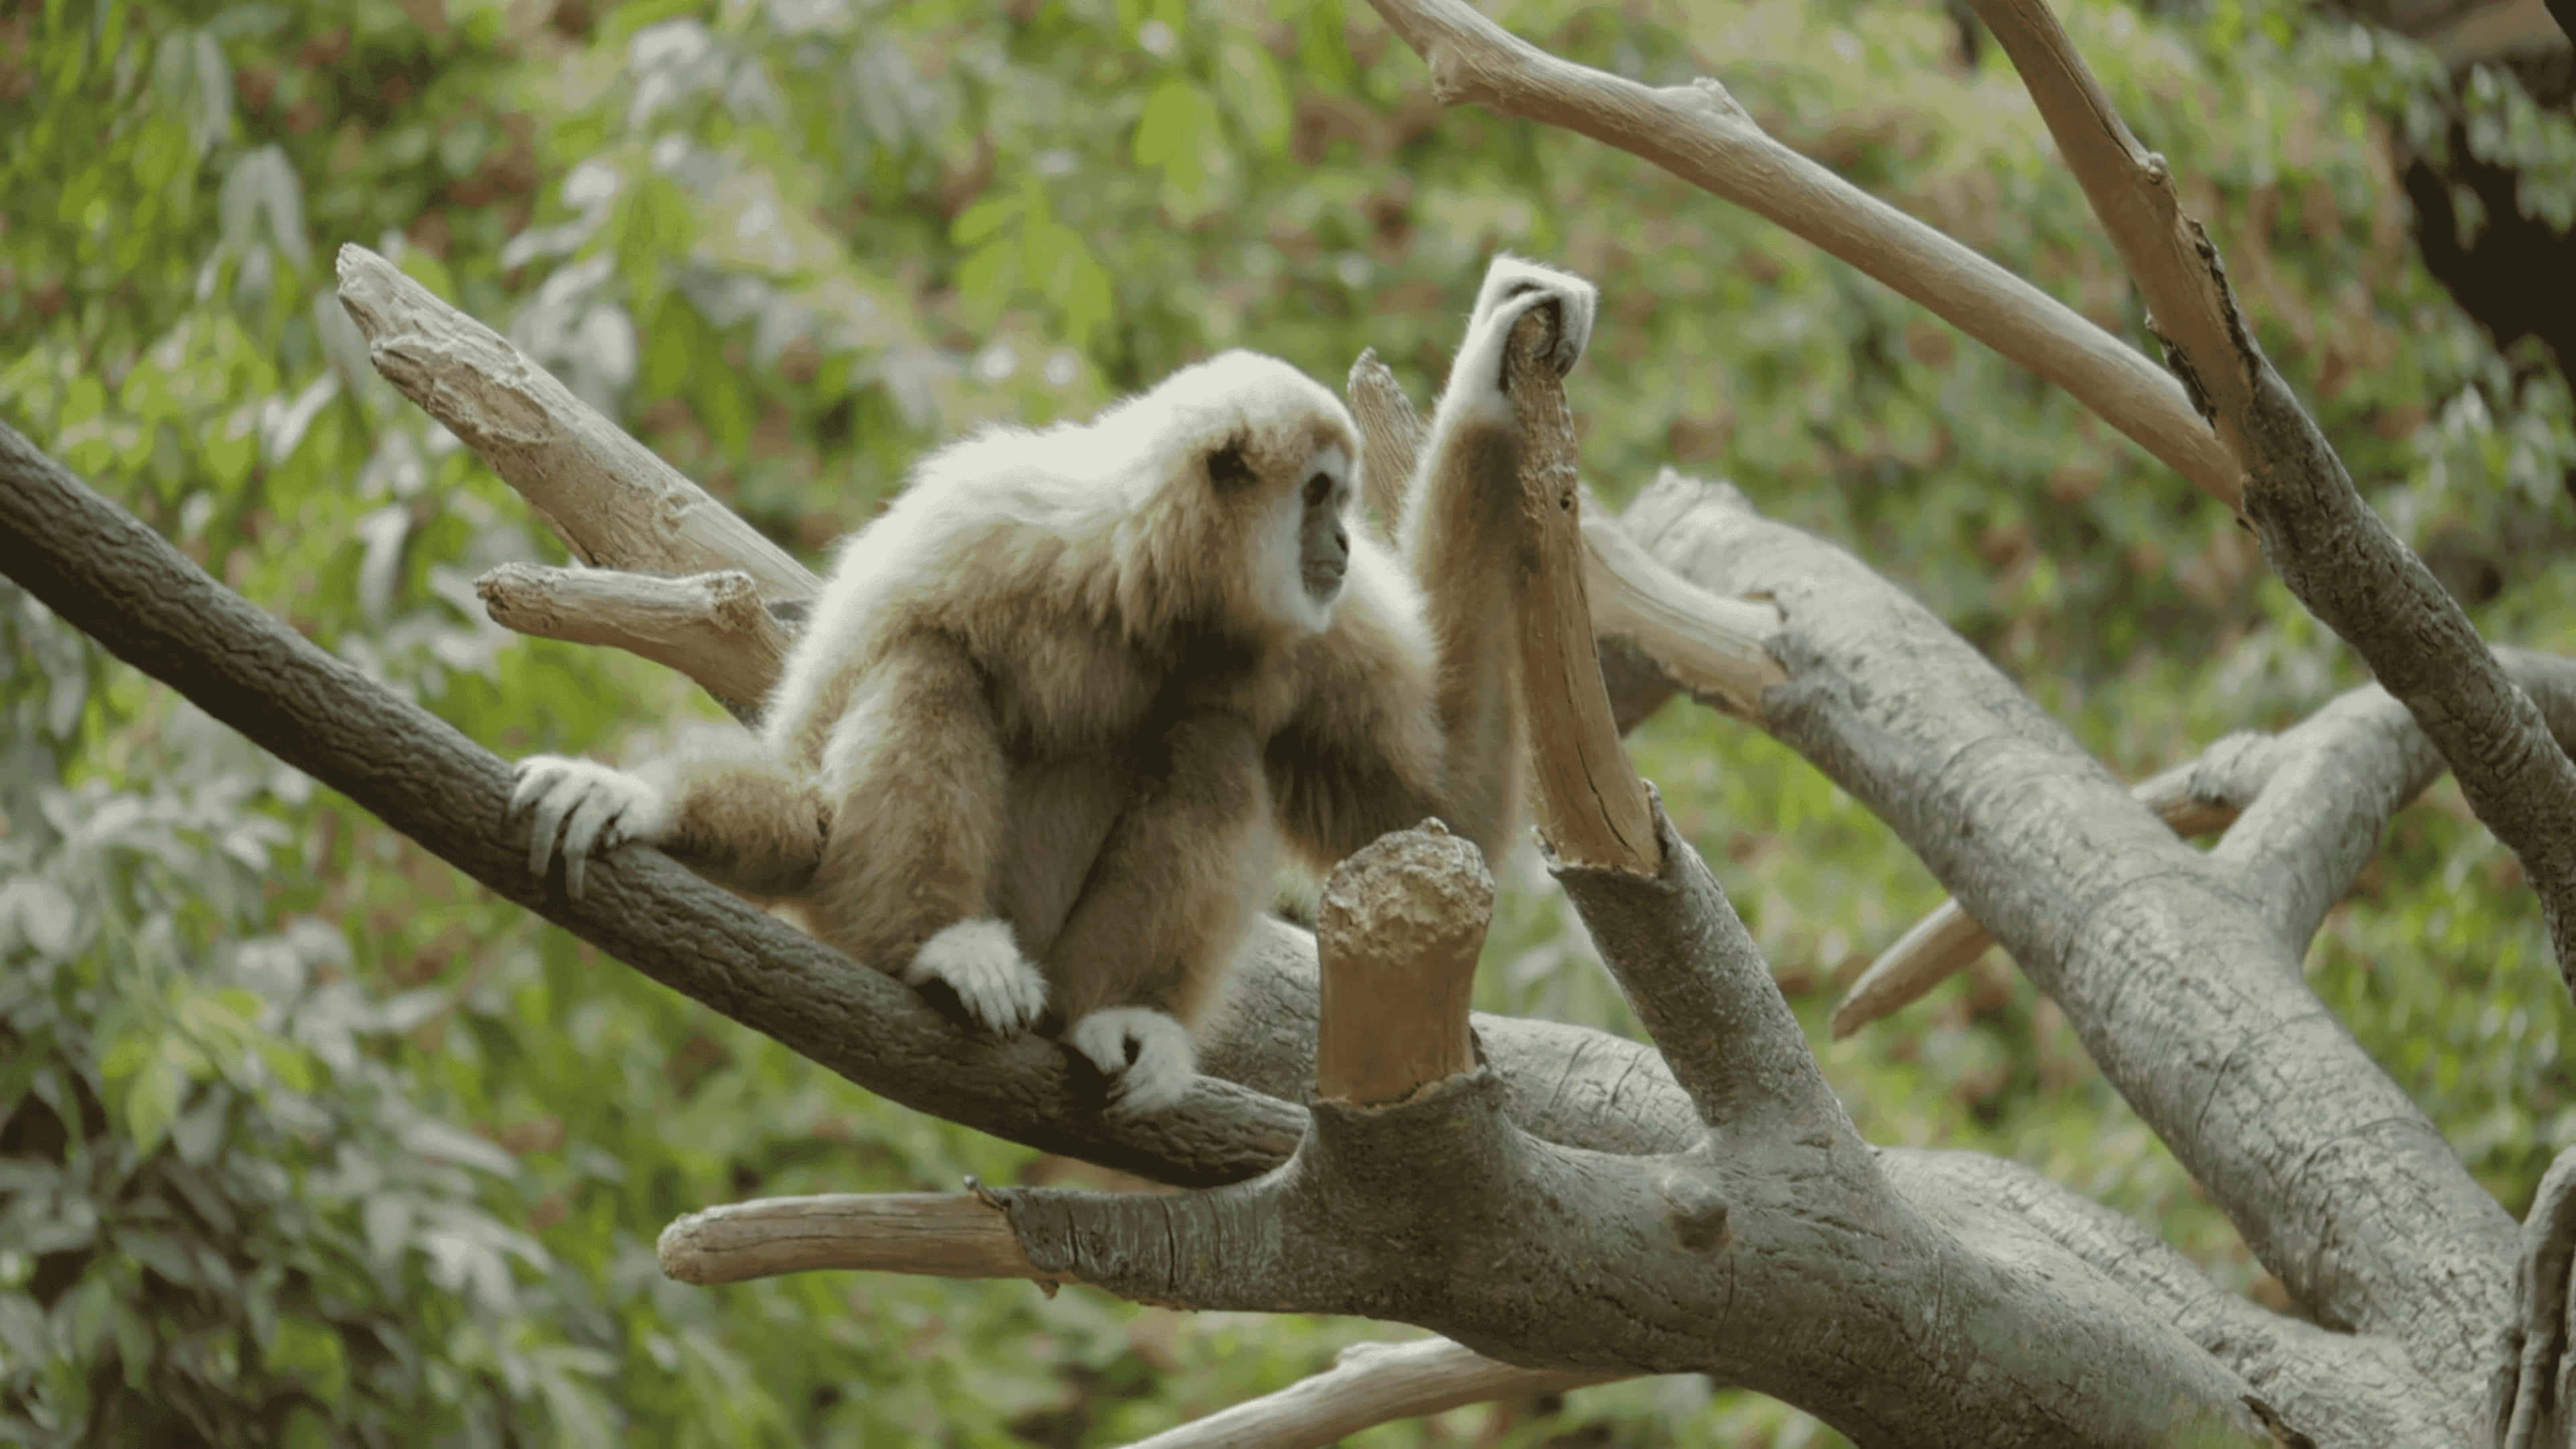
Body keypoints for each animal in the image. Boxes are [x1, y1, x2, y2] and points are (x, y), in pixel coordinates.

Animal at [510, 254, 1597, 1112]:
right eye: (1321, 494)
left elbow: (1440, 814)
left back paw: (1123, 1018)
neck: (1156, 595)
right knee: (927, 663)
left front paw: (1494, 382)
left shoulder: (1336, 629)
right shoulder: (968, 524)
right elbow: (811, 784)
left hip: (1072, 960)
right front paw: (638, 796)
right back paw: (940, 951)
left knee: (1214, 741)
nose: (1337, 542)